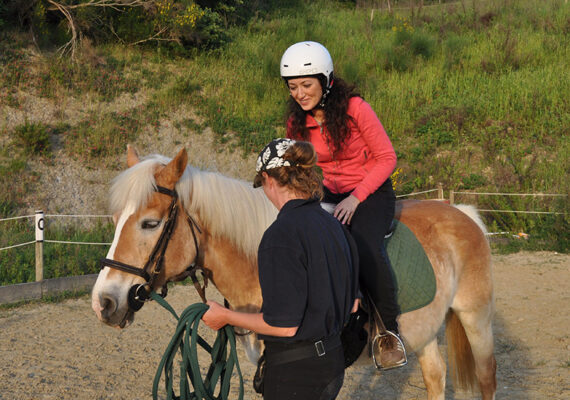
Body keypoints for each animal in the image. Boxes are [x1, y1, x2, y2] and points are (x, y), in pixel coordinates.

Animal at [91, 148, 494, 400]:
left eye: (150, 223)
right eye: (115, 220)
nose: (104, 302)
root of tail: (461, 212)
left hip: (475, 318)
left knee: (487, 378)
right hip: (424, 333)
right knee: (436, 376)